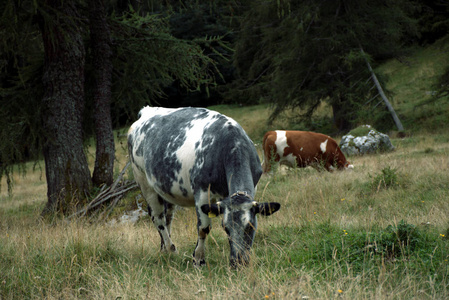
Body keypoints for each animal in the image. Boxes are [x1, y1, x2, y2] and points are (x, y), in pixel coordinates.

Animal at [127, 106, 280, 268]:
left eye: (250, 226)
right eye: (226, 228)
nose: (237, 262)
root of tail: (147, 111)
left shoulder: (252, 187)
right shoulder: (201, 191)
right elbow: (204, 228)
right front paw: (198, 260)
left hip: (167, 189)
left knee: (168, 217)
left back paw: (164, 249)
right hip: (144, 181)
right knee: (158, 218)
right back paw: (170, 250)